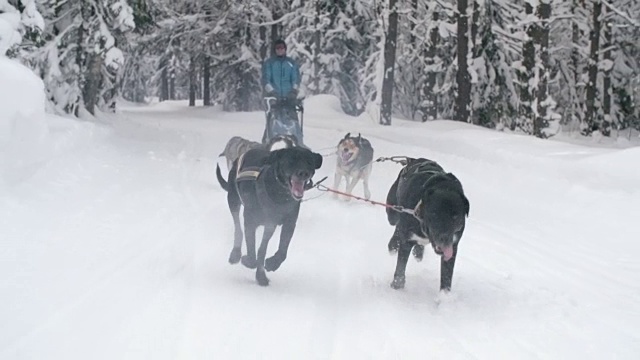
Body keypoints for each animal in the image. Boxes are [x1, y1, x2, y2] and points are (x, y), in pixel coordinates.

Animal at [216, 148, 324, 286]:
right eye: (291, 160)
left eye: (309, 161)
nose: (303, 173)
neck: (280, 194)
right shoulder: (250, 220)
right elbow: (251, 248)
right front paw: (248, 260)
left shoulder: (285, 223)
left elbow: (279, 250)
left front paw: (271, 264)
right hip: (233, 199)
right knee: (238, 228)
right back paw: (236, 254)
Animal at [384, 158, 470, 292]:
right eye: (434, 213)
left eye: (455, 216)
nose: (444, 239)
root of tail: (415, 159)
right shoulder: (407, 240)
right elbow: (401, 267)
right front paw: (397, 285)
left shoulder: (453, 246)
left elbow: (446, 277)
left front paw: (444, 296)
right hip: (392, 213)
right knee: (397, 225)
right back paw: (393, 244)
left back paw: (418, 251)